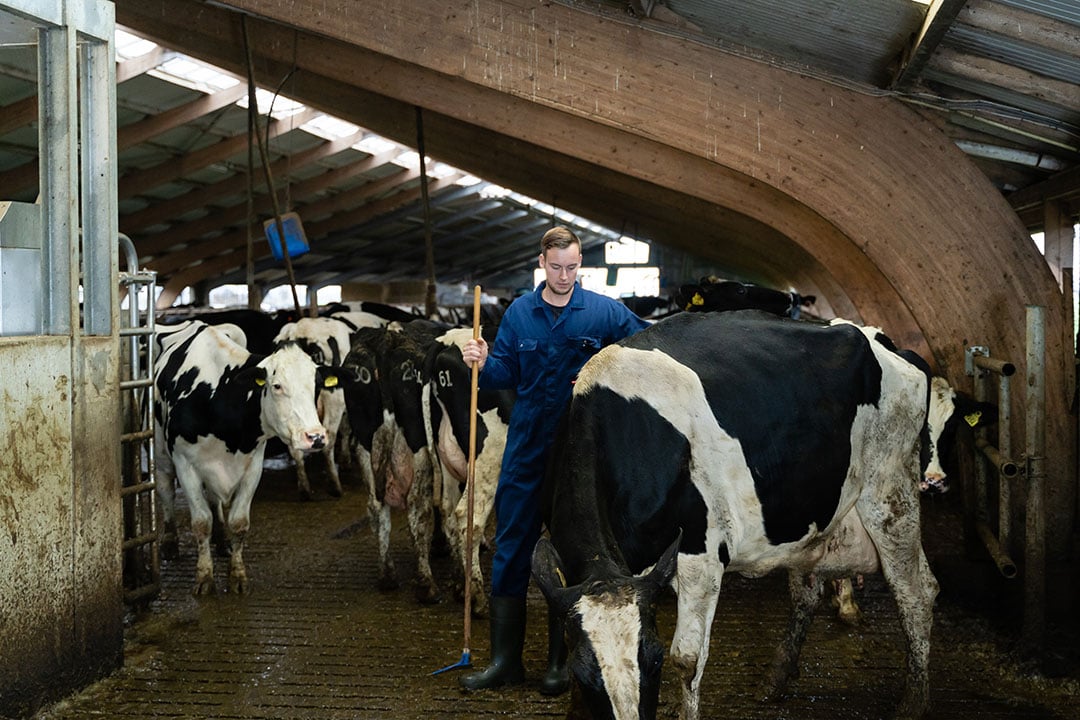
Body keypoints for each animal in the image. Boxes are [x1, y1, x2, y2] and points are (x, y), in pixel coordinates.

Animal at [153, 321, 332, 595]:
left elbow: (239, 522)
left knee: (214, 499)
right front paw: (204, 578)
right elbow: (201, 522)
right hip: (162, 451)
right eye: (277, 385)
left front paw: (237, 576)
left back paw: (221, 540)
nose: (315, 437)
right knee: (165, 489)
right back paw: (170, 541)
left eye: (317, 384)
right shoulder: (185, 465)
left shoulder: (252, 466)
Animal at [425, 325, 514, 613]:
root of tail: (447, 341)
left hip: (446, 458)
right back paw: (475, 595)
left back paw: (458, 584)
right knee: (467, 517)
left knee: (448, 510)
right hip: (489, 460)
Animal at [533, 313, 993, 720]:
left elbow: (688, 657)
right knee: (807, 592)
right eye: (583, 676)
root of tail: (882, 340)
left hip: (889, 493)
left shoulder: (701, 552)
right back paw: (777, 679)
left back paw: (913, 701)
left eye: (654, 660)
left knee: (916, 590)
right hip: (810, 514)